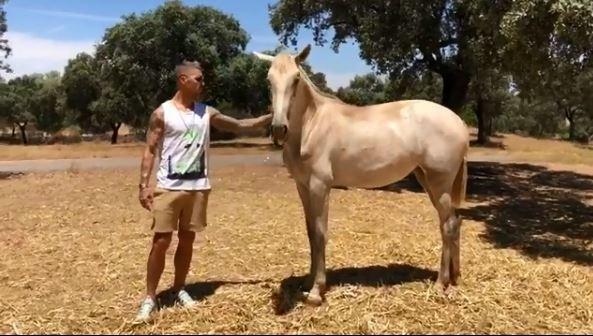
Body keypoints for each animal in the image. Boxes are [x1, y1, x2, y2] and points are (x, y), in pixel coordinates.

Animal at [254, 44, 468, 304]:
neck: (311, 126)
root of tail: (459, 122)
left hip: (440, 183)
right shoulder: (302, 186)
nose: (278, 129)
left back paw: (439, 284)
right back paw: (454, 277)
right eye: (269, 80)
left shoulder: (320, 186)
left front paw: (316, 291)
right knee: (454, 223)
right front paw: (307, 283)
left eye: (296, 79)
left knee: (447, 226)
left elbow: (320, 233)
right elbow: (310, 232)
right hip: (426, 180)